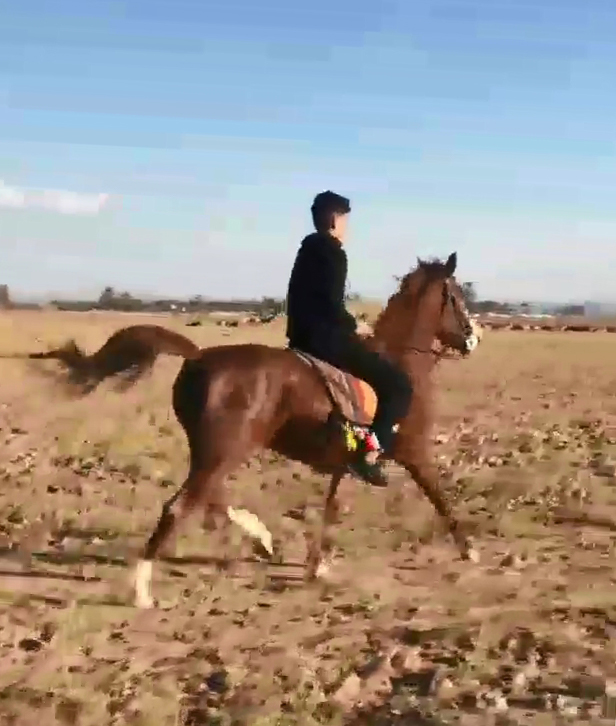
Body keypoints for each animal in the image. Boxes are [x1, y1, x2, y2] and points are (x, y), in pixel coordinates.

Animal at [3, 252, 481, 608]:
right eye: (456, 296)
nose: (473, 339)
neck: (401, 361)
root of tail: (199, 357)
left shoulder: (346, 461)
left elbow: (331, 508)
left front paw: (317, 566)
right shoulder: (413, 451)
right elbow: (440, 497)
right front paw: (470, 549)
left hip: (214, 449)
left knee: (210, 499)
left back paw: (261, 540)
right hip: (227, 448)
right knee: (182, 506)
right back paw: (142, 590)